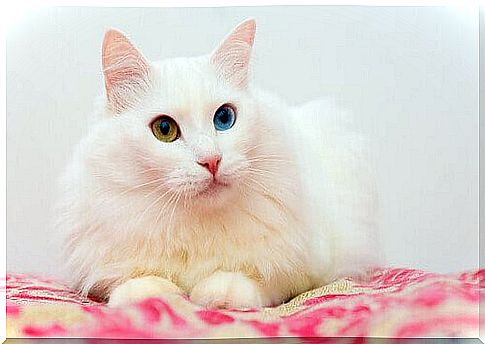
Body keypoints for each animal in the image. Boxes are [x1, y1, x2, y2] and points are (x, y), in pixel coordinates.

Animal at [56, 18, 380, 310]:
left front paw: (221, 293)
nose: (211, 161)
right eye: (164, 129)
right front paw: (154, 295)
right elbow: (131, 284)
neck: (197, 226)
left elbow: (257, 281)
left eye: (224, 118)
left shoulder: (306, 266)